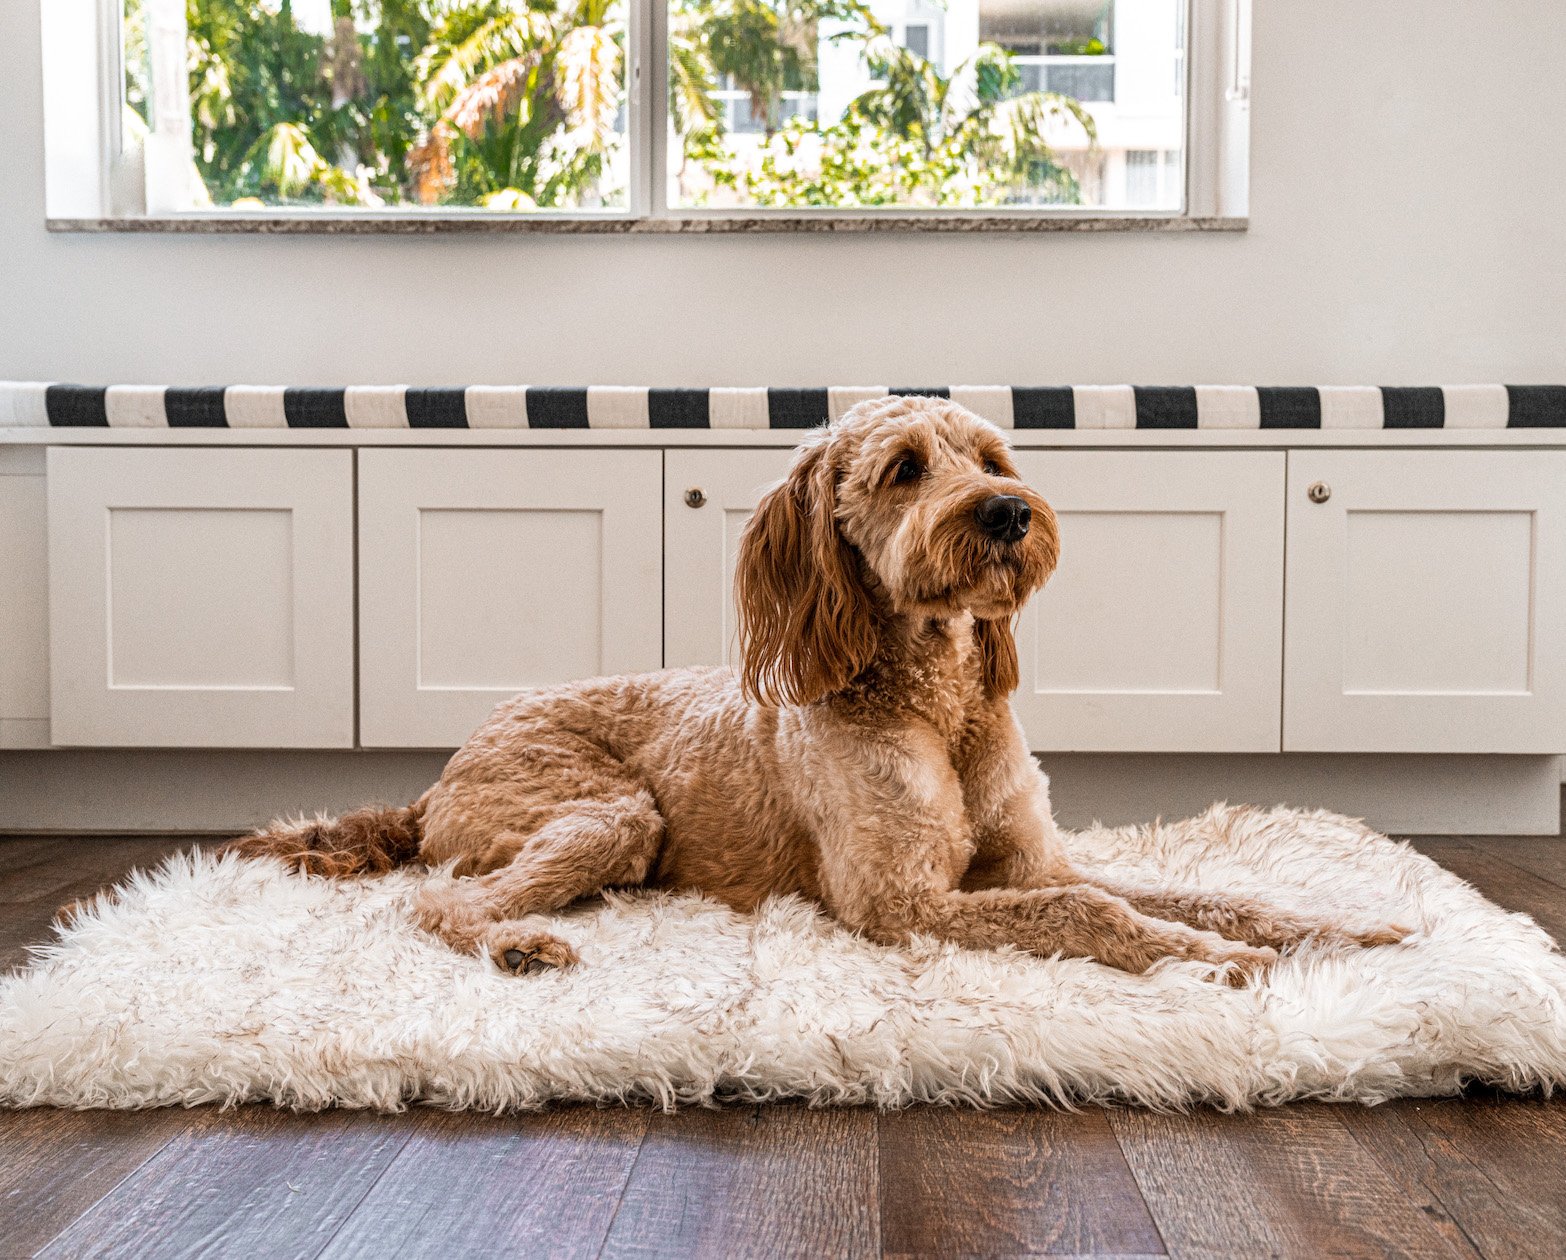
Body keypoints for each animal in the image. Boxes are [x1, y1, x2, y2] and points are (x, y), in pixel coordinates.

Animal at [223, 392, 1409, 982]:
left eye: (993, 457)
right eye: (905, 469)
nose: (1009, 512)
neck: (938, 699)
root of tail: (433, 782)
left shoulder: (1029, 860)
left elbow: (1186, 891)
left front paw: (1337, 931)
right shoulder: (901, 904)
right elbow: (1090, 911)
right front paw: (1211, 962)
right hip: (611, 813)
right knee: (440, 899)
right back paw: (518, 942)